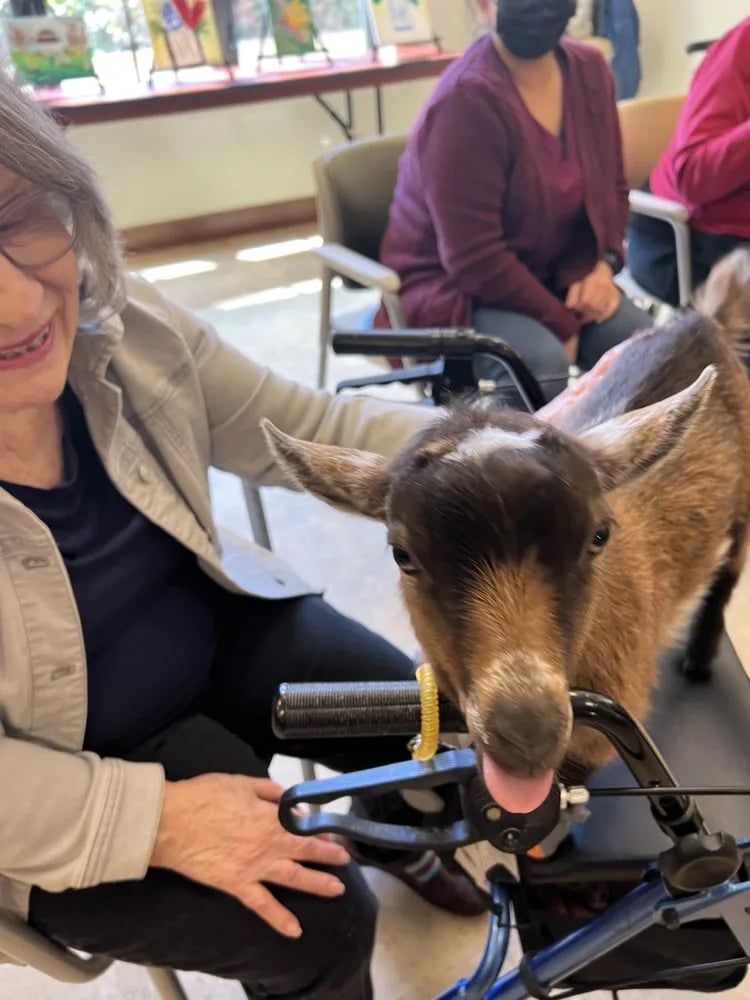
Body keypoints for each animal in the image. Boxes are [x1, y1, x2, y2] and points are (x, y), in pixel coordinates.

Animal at [263, 249, 750, 815]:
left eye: (599, 537)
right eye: (402, 554)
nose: (527, 734)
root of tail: (702, 320)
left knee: (730, 565)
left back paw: (699, 656)